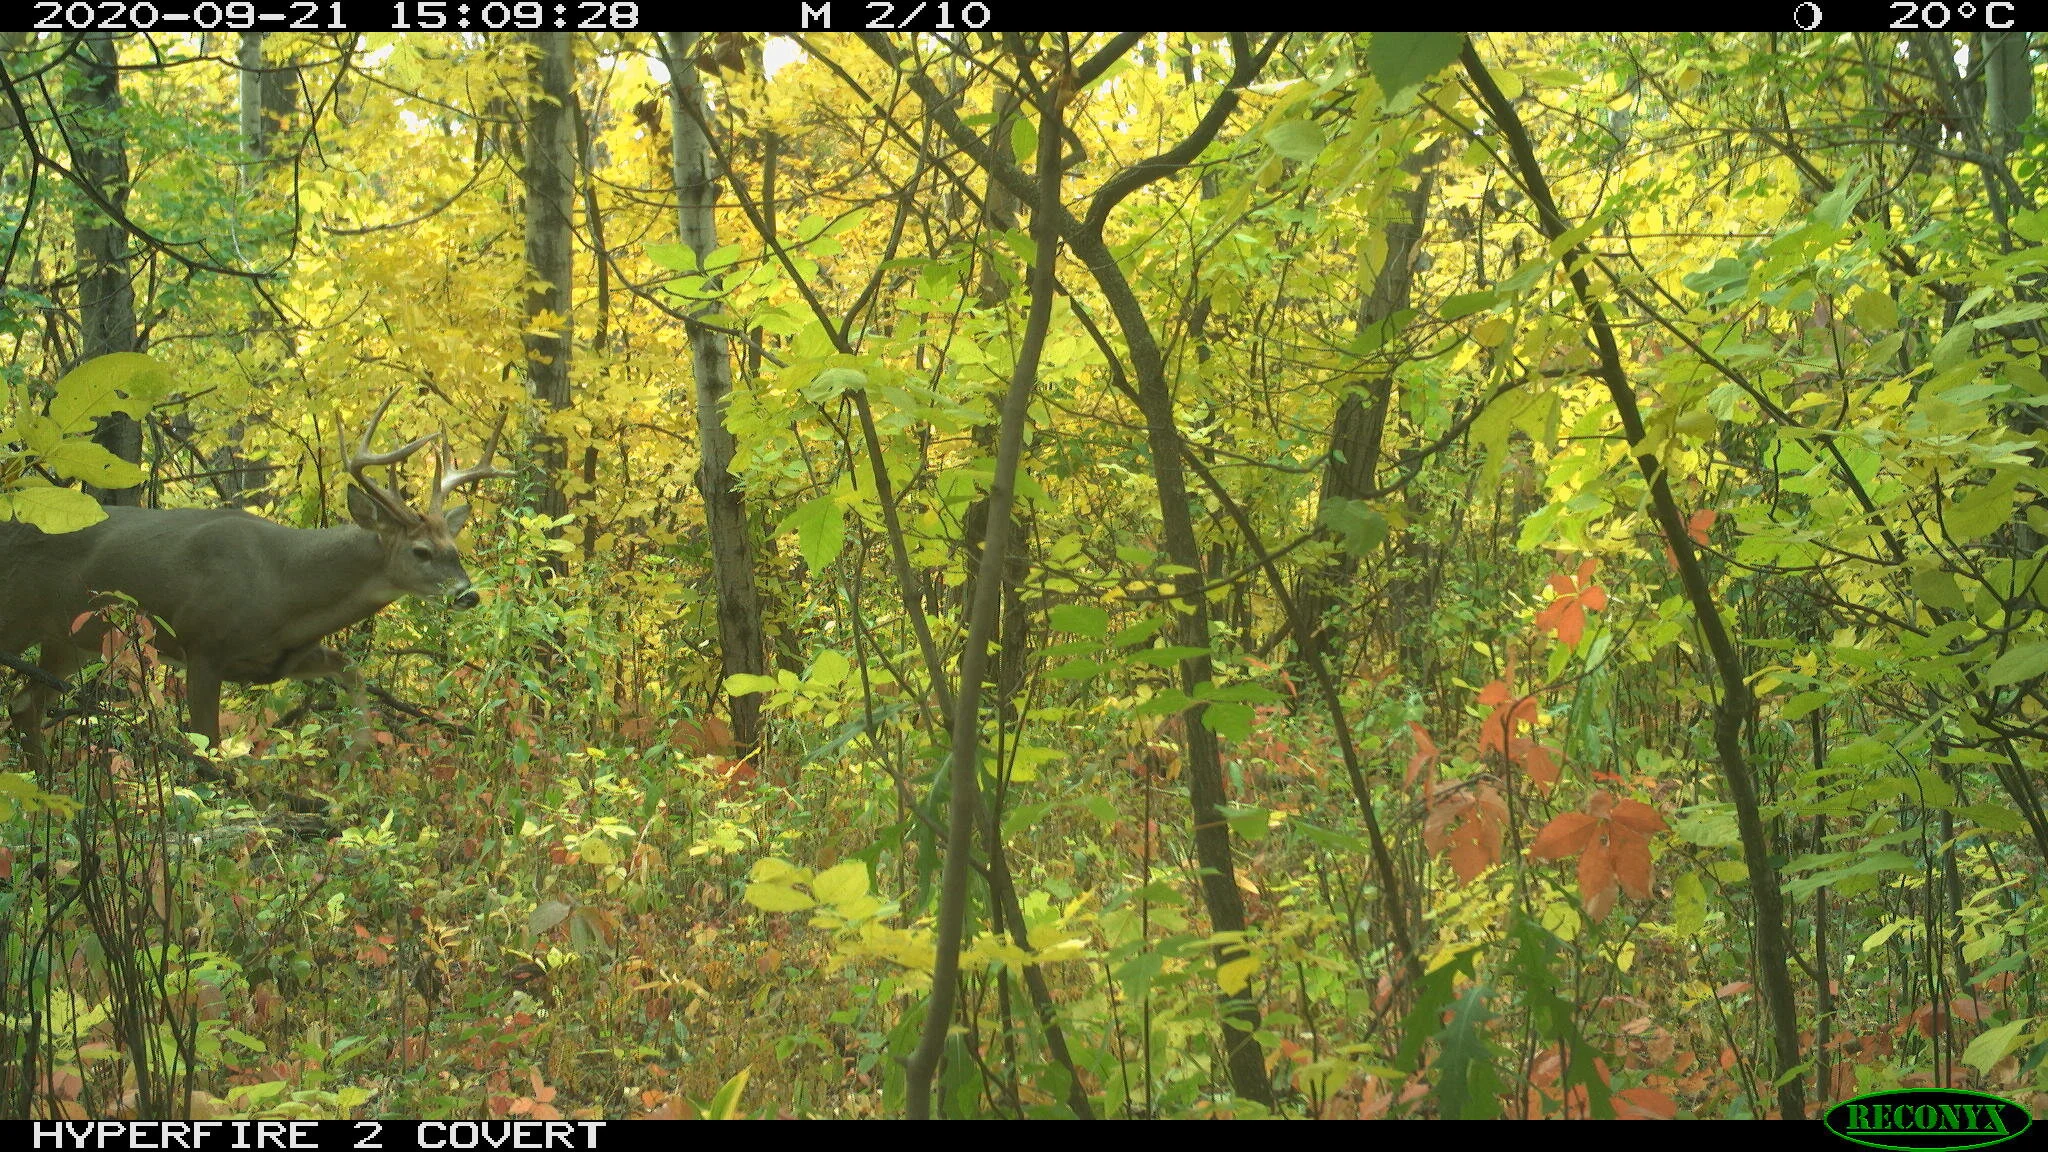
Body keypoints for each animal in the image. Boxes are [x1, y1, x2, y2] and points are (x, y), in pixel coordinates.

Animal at [0, 393, 508, 769]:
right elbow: (206, 743)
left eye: (454, 549)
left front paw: (353, 757)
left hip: (68, 640)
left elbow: (351, 668)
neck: (283, 586)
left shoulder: (282, 658)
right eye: (421, 552)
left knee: (25, 705)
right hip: (18, 618)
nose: (468, 594)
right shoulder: (203, 644)